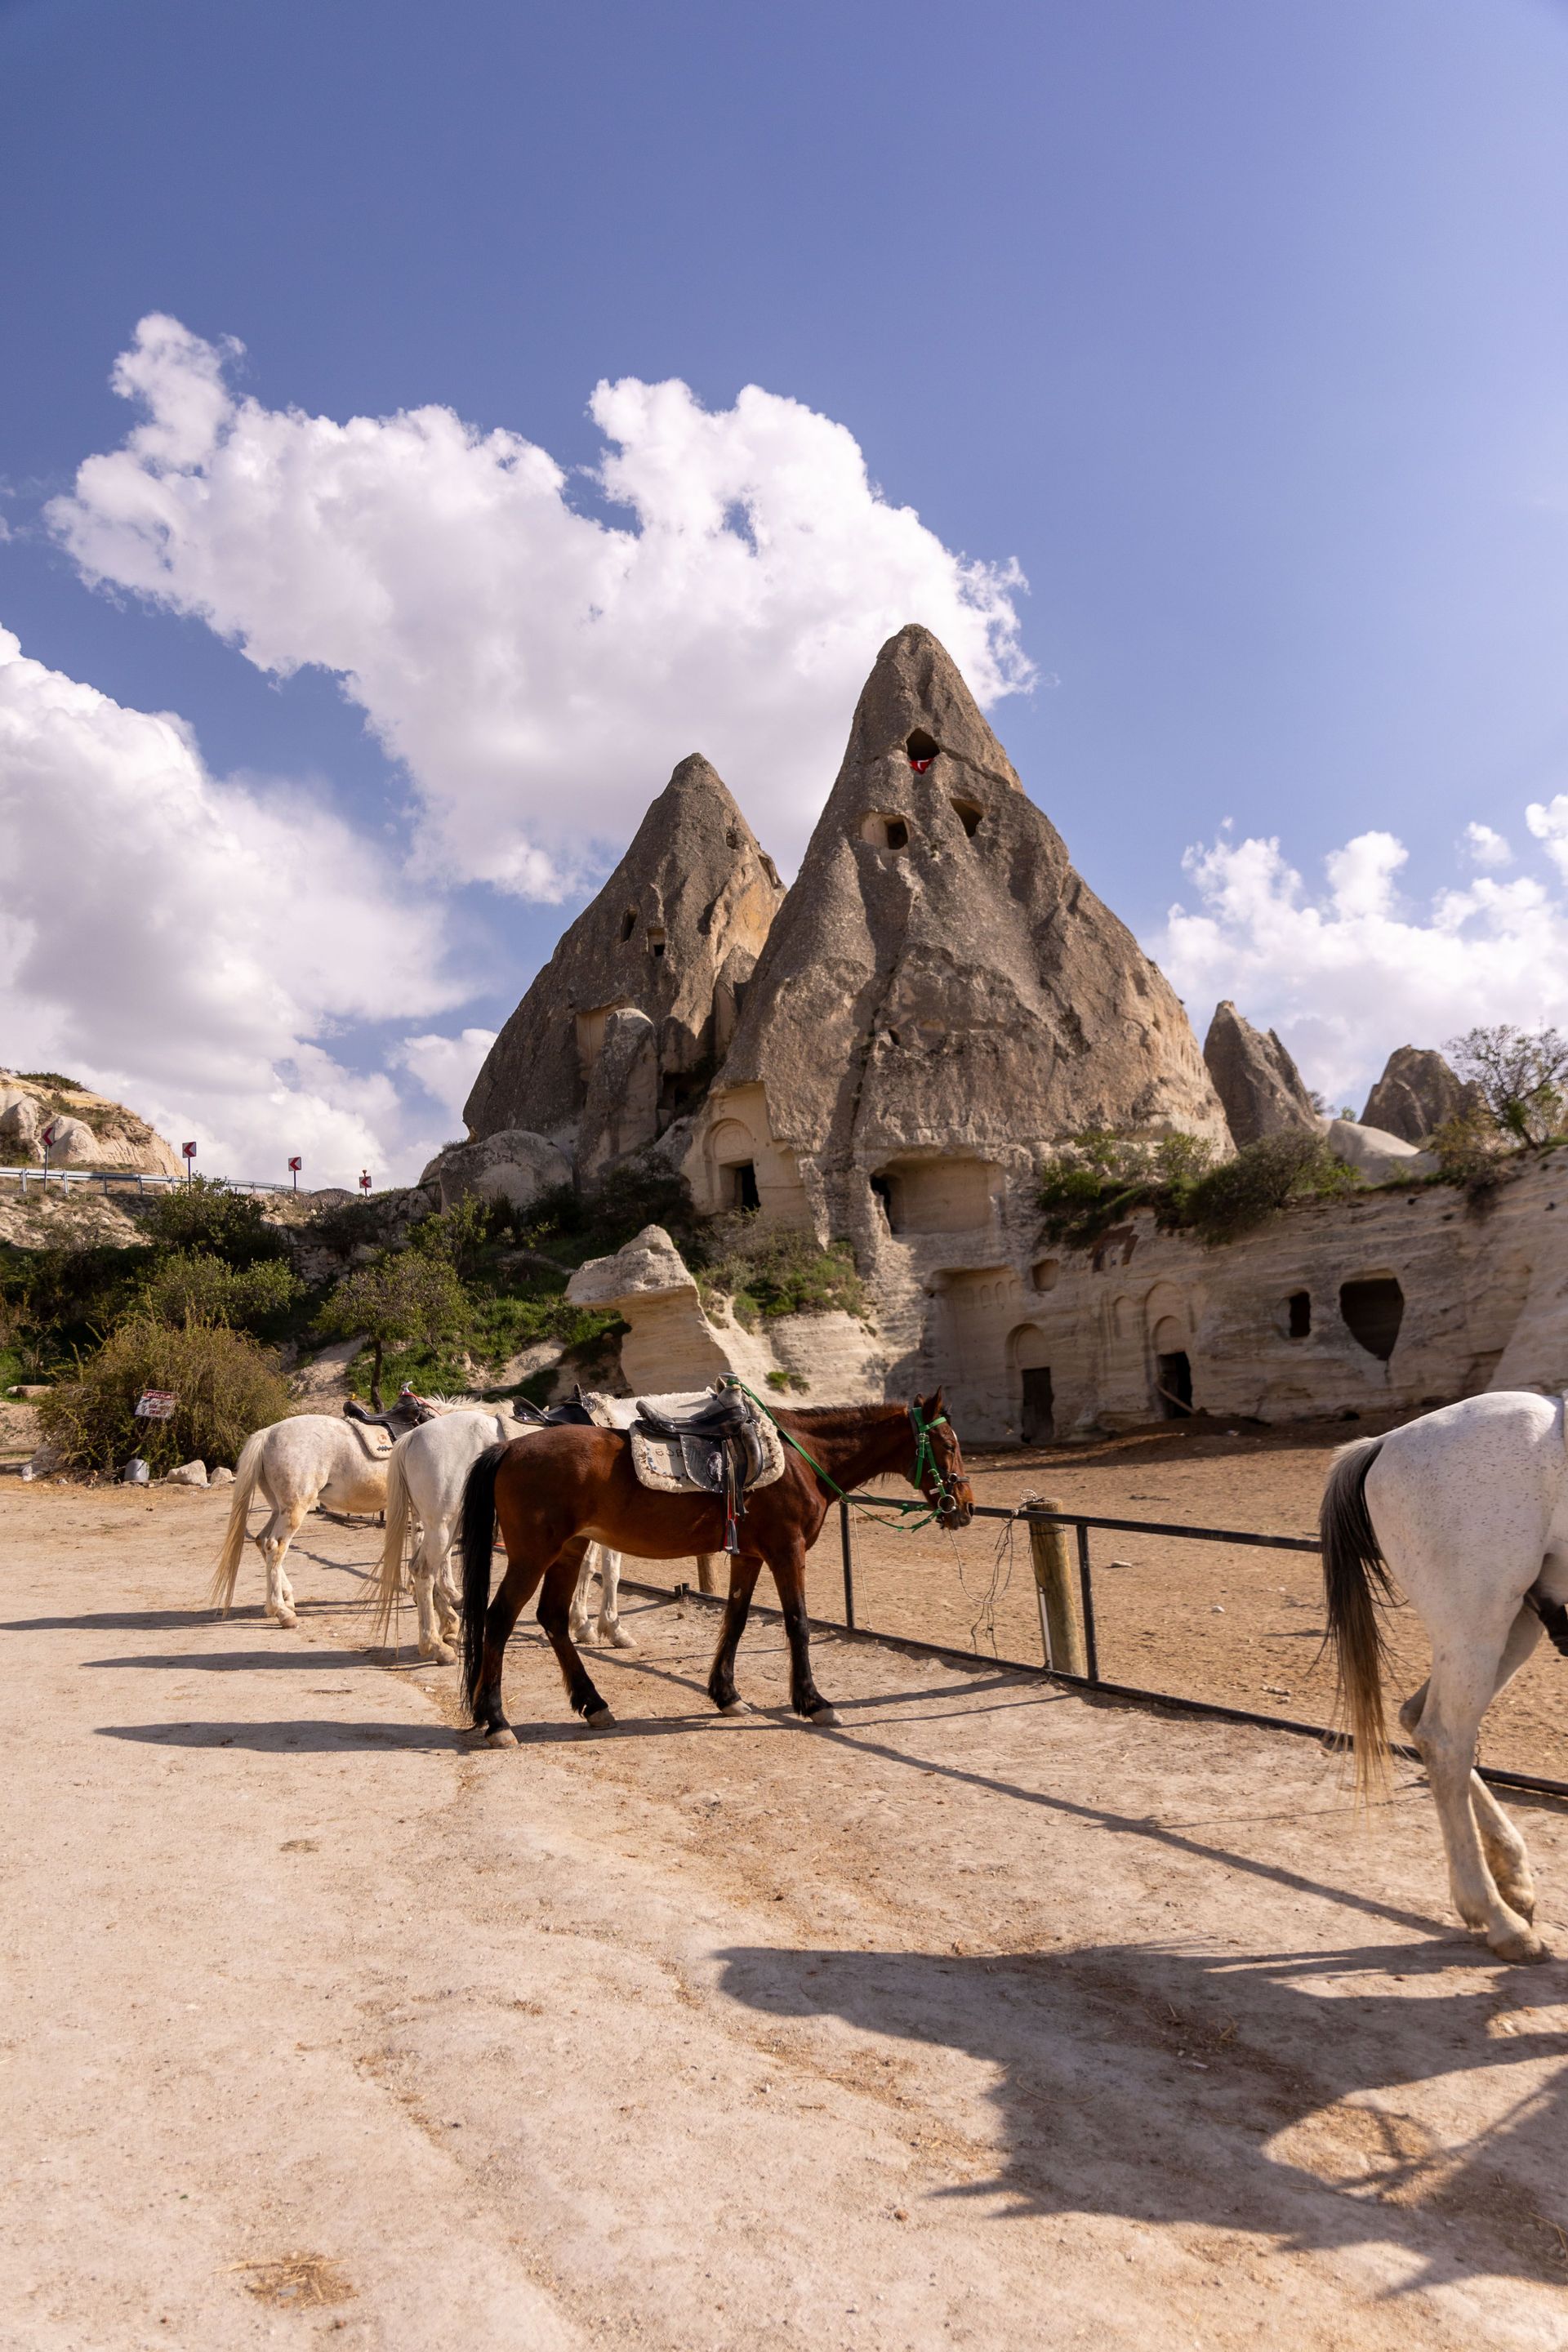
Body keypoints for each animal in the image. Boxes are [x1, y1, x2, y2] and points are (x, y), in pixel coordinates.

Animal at [210, 1393, 442, 1627]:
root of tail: (267, 1434)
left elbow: (417, 1541)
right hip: (295, 1510)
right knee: (275, 1546)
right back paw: (282, 1612)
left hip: (279, 1509)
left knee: (262, 1541)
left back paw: (287, 1599)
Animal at [373, 1408, 629, 1666]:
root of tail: (412, 1436)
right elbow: (604, 1571)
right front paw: (606, 1627)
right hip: (443, 1527)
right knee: (424, 1572)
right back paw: (436, 1646)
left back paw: (449, 1625)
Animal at [457, 1392, 971, 1746]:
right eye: (947, 1442)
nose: (964, 1506)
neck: (802, 1457)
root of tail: (509, 1450)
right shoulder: (787, 1551)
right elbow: (798, 1624)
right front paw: (814, 1702)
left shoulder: (749, 1555)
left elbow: (736, 1619)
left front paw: (727, 1695)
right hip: (532, 1556)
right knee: (499, 1620)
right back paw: (497, 1721)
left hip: (569, 1550)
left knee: (552, 1619)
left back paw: (593, 1705)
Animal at [1322, 1388, 1568, 1964]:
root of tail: (1384, 1442)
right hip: (1479, 1624)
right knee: (1446, 1740)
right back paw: (1498, 1918)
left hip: (1512, 1626)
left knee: (1420, 1719)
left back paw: (1513, 1878)